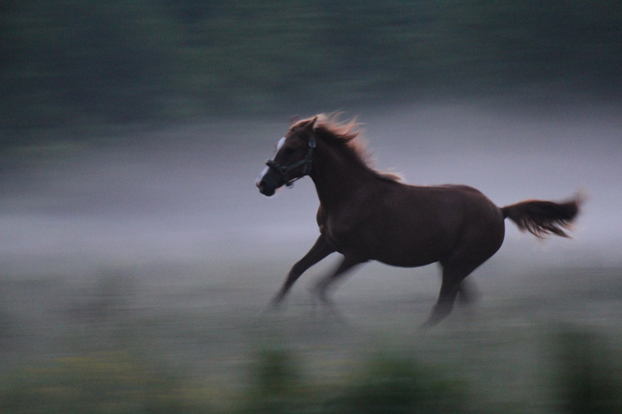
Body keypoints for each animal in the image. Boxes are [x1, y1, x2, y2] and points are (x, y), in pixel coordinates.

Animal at [255, 114, 584, 326]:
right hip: (452, 263)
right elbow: (296, 271)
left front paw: (342, 327)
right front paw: (268, 315)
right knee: (464, 301)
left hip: (458, 262)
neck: (349, 195)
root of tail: (499, 210)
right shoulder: (327, 241)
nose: (263, 184)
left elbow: (320, 288)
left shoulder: (356, 255)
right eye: (276, 146)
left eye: (291, 149)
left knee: (444, 305)